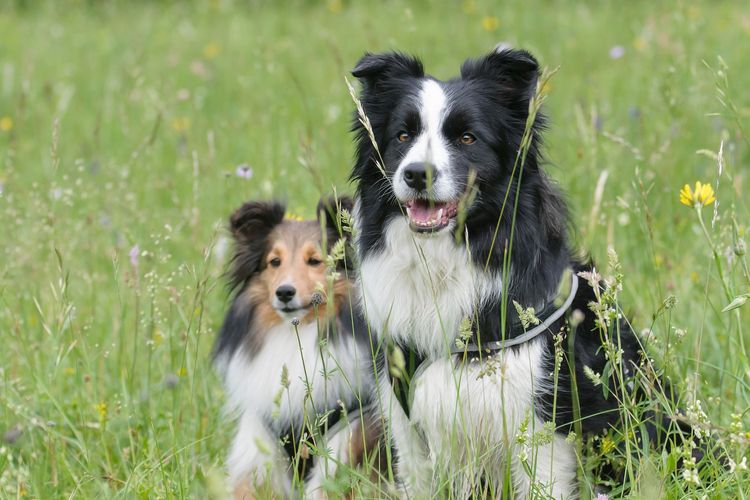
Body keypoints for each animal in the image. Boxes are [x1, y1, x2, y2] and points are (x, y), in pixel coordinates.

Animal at [214, 199, 378, 500]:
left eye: (314, 260)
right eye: (274, 262)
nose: (284, 292)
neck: (296, 334)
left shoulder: (349, 437)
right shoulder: (261, 445)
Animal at [350, 47, 692, 496]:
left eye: (467, 138)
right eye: (403, 136)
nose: (416, 174)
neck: (446, 260)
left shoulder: (539, 422)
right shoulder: (408, 424)